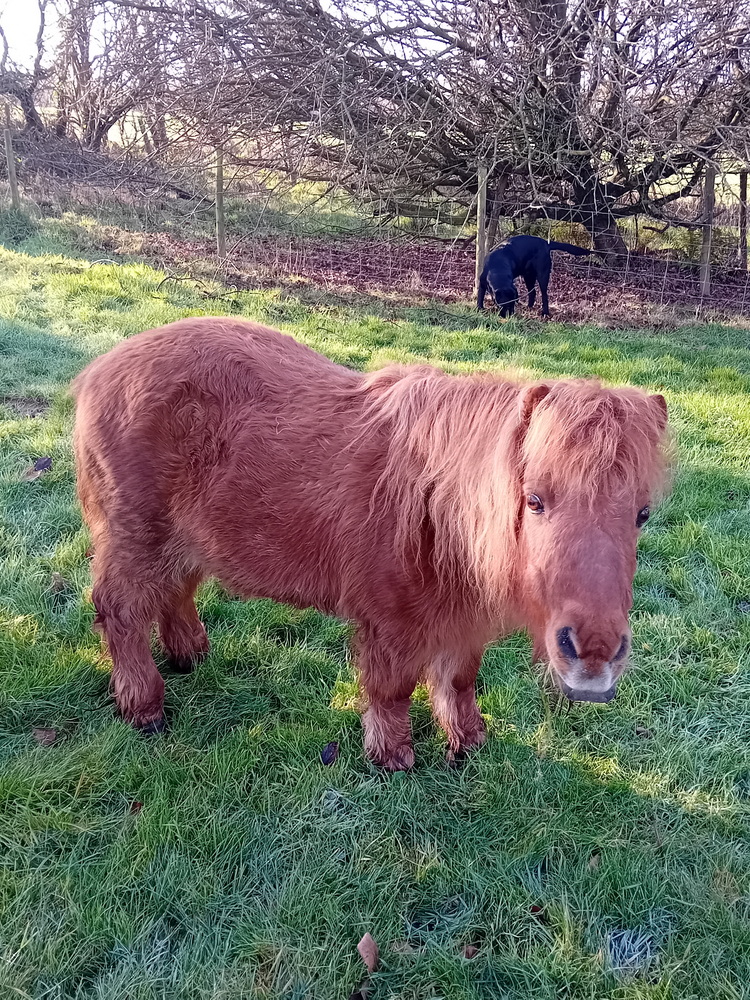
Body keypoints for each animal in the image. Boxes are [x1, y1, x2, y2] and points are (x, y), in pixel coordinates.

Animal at [72, 317, 669, 770]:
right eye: (535, 500)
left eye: (642, 513)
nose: (593, 658)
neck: (436, 507)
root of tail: (100, 371)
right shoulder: (390, 623)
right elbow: (392, 690)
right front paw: (393, 757)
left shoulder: (462, 619)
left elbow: (459, 680)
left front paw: (470, 742)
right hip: (136, 539)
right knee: (121, 611)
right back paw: (145, 707)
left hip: (184, 542)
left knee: (174, 592)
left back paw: (190, 654)